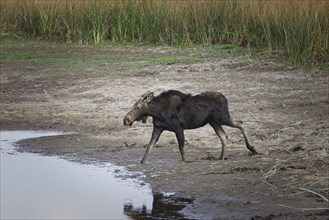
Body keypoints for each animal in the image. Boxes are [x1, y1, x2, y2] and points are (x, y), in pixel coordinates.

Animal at [122, 90, 256, 163]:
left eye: (138, 107)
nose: (126, 120)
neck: (157, 112)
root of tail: (225, 98)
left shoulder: (179, 128)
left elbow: (181, 148)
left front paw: (186, 161)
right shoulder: (158, 128)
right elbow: (149, 146)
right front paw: (142, 162)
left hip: (222, 118)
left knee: (241, 123)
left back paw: (252, 148)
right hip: (214, 122)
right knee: (224, 136)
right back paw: (221, 157)